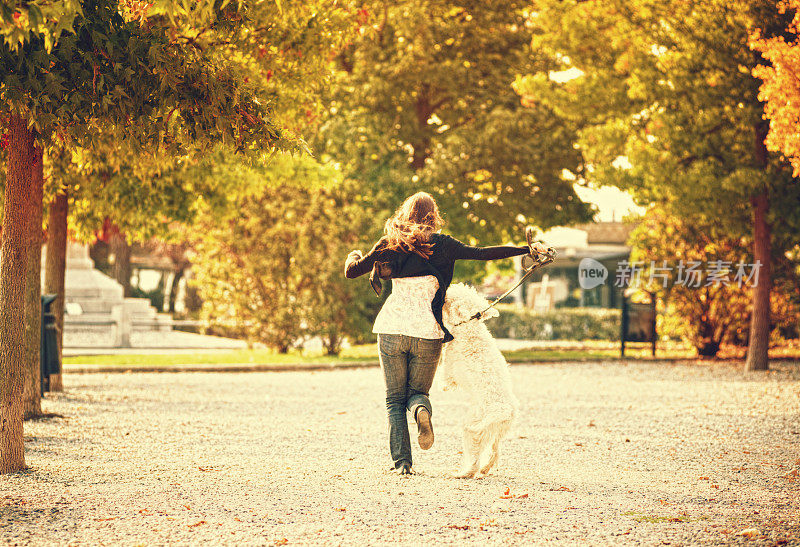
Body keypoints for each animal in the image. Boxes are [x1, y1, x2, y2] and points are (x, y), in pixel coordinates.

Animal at [438, 284, 520, 478]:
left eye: (450, 297)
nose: (447, 289)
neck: (469, 326)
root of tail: (505, 411)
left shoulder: (449, 372)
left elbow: (445, 380)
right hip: (497, 431)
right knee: (495, 451)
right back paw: (486, 468)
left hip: (474, 427)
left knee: (474, 455)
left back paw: (465, 473)